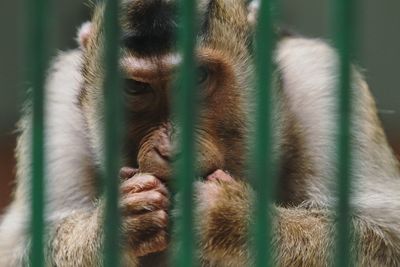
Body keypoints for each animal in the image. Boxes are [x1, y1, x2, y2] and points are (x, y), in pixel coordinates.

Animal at [0, 0, 400, 266]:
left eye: (197, 77)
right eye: (135, 87)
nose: (172, 148)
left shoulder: (324, 84)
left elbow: (386, 235)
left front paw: (229, 219)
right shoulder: (54, 104)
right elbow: (17, 247)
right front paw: (113, 225)